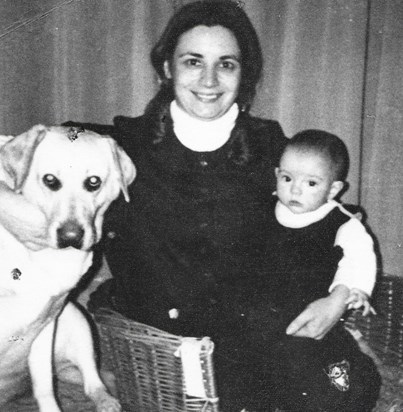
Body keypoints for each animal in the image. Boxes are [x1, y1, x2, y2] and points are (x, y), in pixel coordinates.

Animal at [0, 124, 137, 410]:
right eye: (50, 180)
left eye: (93, 182)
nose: (71, 237)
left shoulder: (44, 325)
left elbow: (45, 389)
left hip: (76, 321)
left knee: (92, 380)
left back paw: (107, 401)